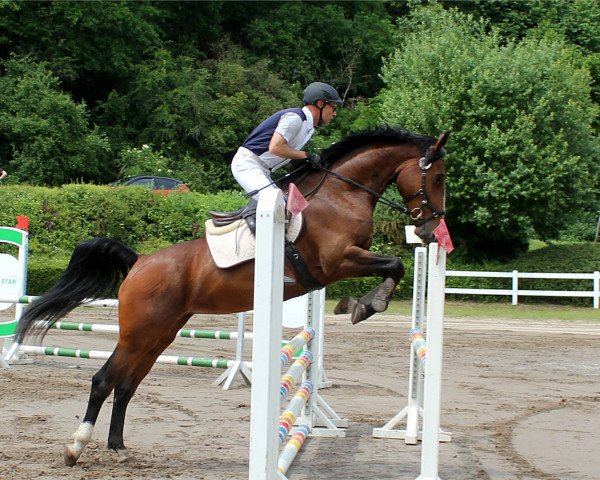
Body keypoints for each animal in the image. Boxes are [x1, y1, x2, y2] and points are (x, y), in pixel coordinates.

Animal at [12, 125, 446, 466]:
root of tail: (139, 262)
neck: (341, 194)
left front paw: (361, 304)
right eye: (439, 178)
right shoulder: (338, 261)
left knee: (126, 384)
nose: (430, 230)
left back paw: (117, 447)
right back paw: (75, 448)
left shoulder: (343, 264)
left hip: (160, 335)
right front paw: (365, 305)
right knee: (104, 380)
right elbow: (395, 265)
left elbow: (394, 266)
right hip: (139, 332)